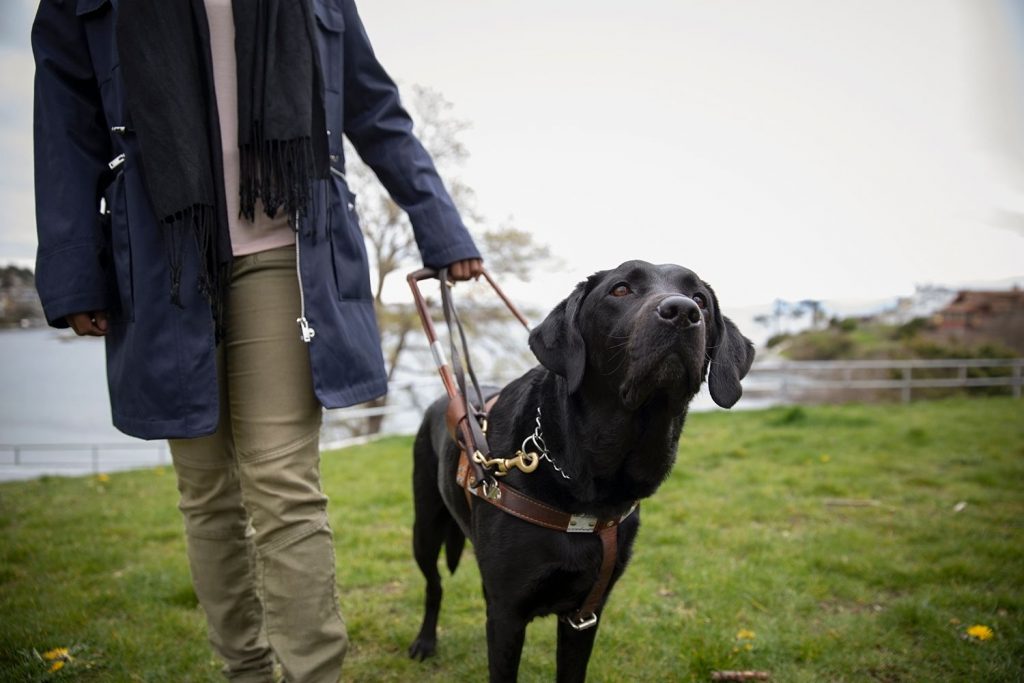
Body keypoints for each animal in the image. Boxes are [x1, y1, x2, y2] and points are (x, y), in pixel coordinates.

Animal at [405, 259, 753, 679]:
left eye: (700, 298)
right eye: (620, 290)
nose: (683, 312)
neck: (591, 483)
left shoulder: (586, 613)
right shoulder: (506, 613)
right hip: (424, 527)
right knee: (434, 584)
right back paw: (425, 641)